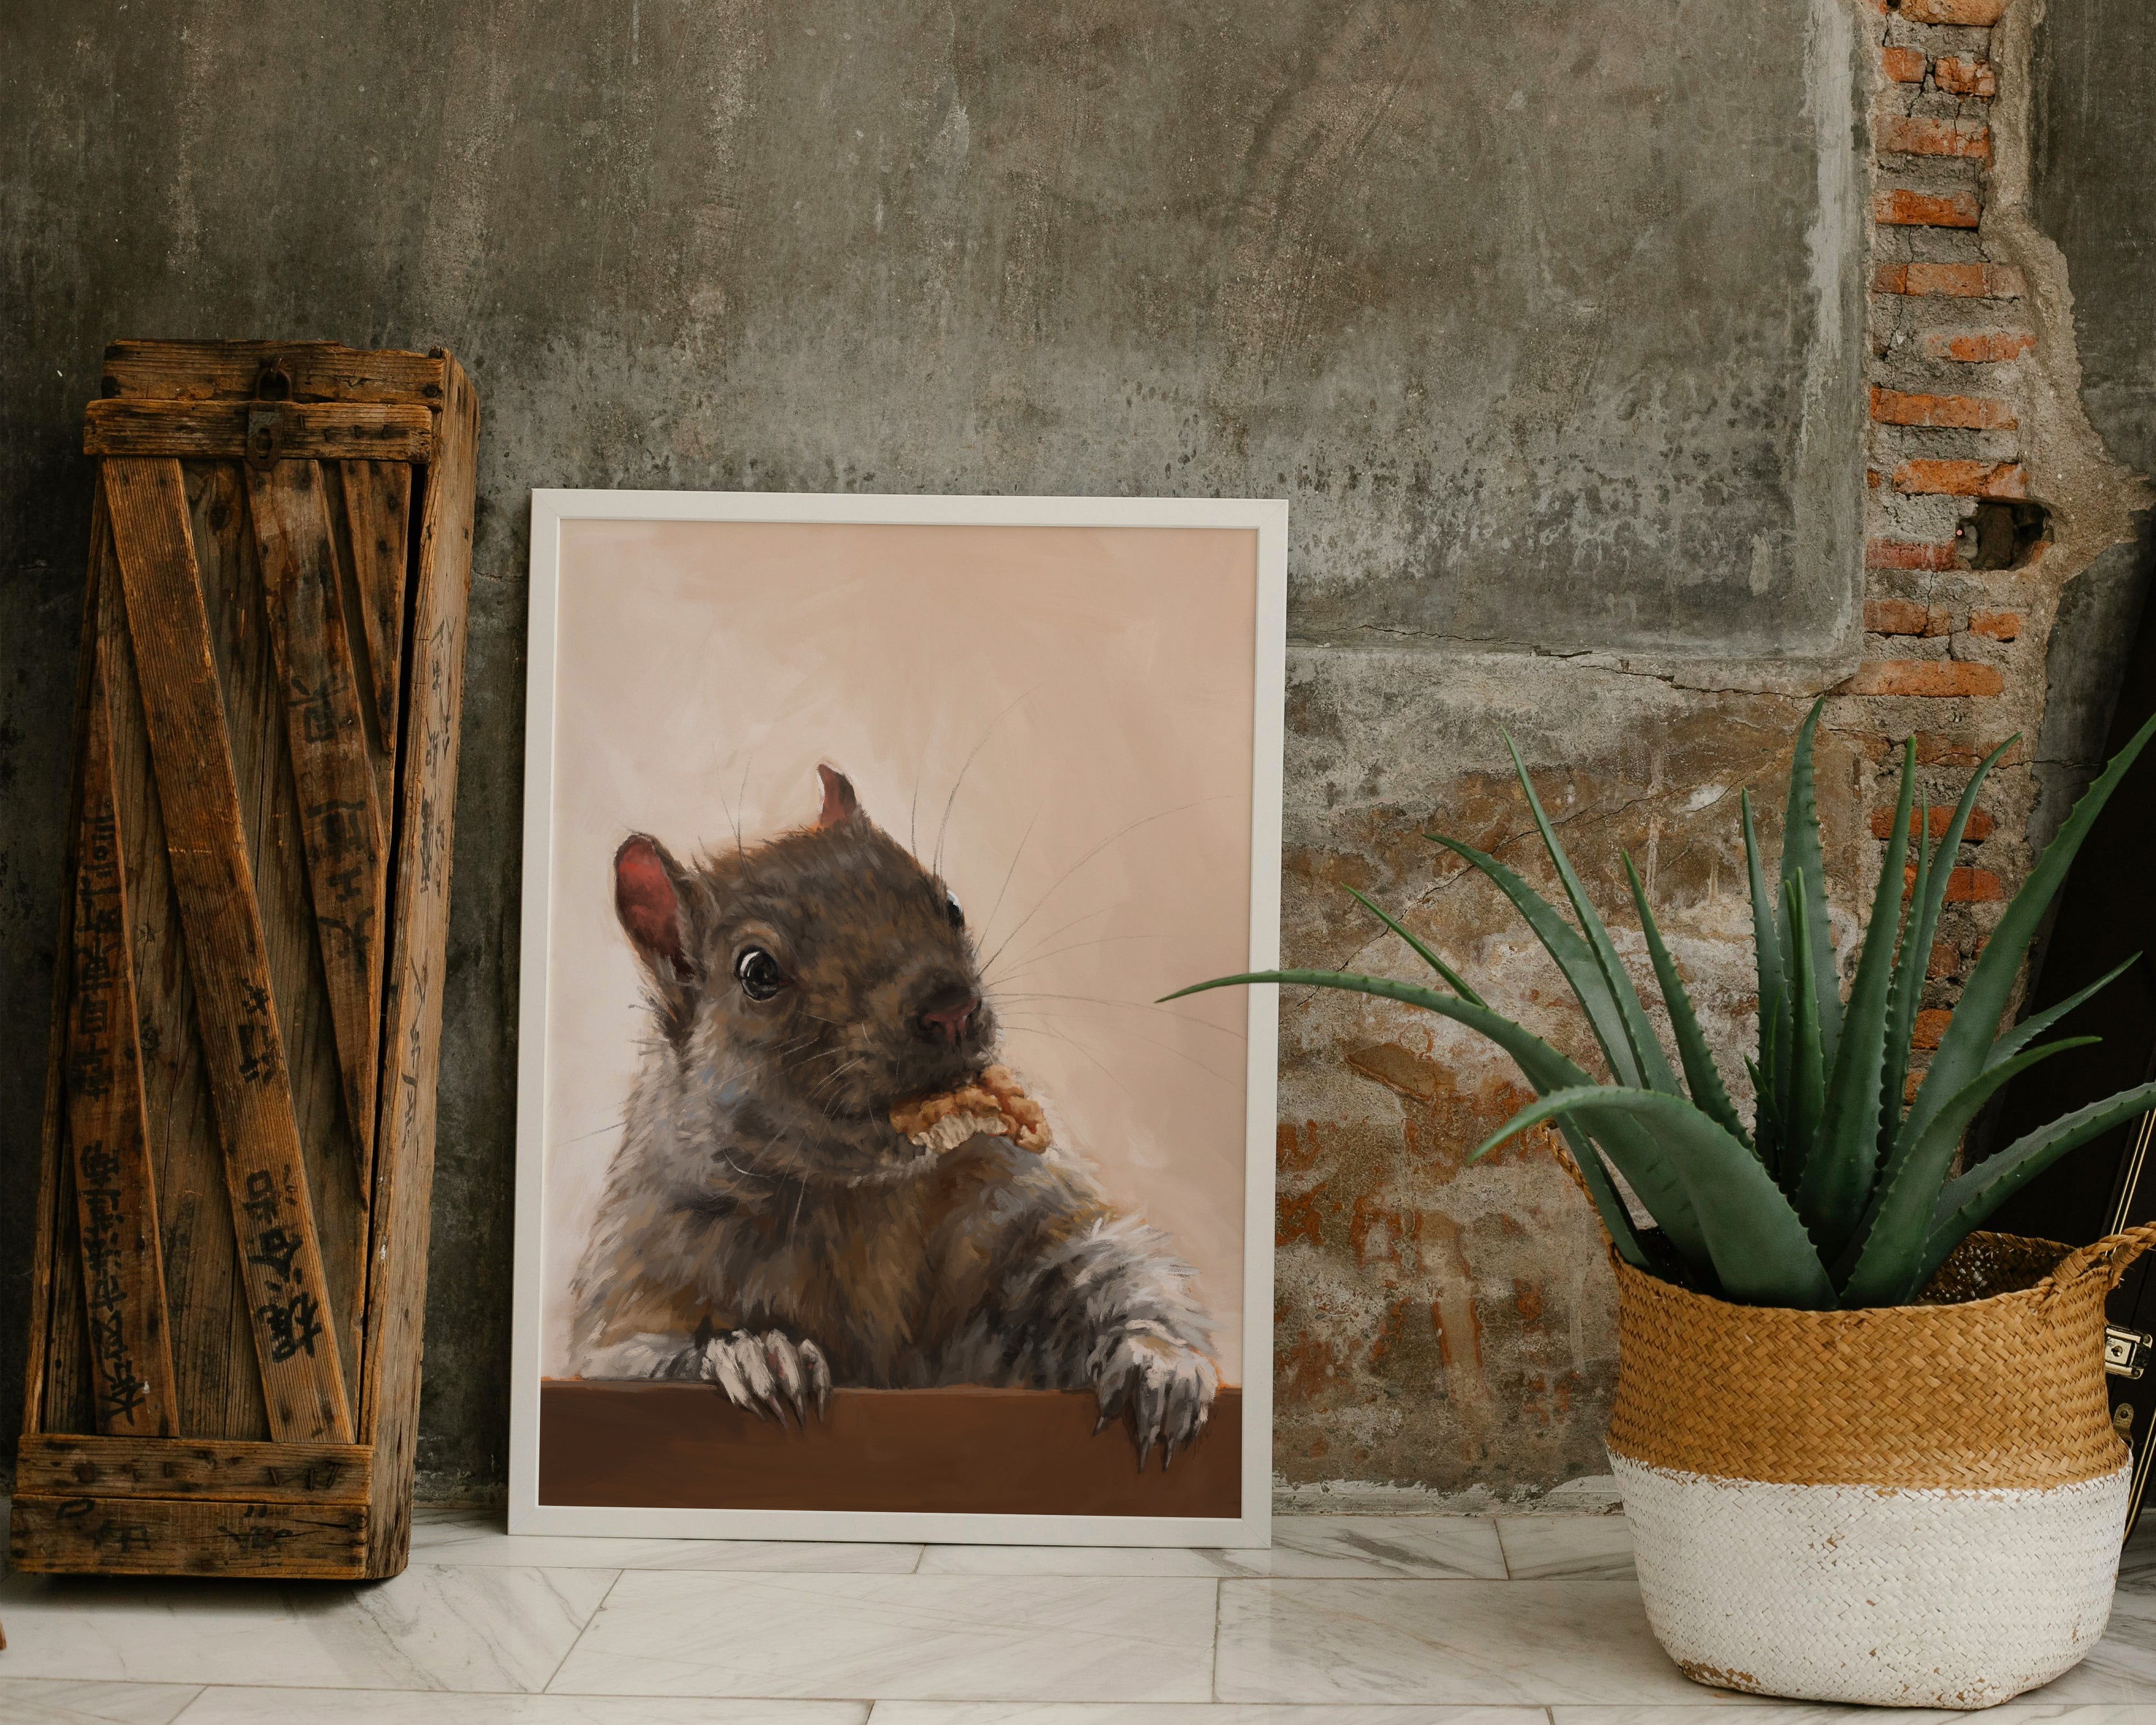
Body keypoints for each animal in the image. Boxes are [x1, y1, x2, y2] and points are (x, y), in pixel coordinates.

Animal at [568, 765, 1219, 1469]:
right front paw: (753, 1353)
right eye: (757, 972)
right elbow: (629, 1356)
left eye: (951, 904)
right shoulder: (641, 1277)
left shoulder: (1015, 1210)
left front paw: (1160, 1362)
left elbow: (1105, 1267)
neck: (863, 1196)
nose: (952, 1007)